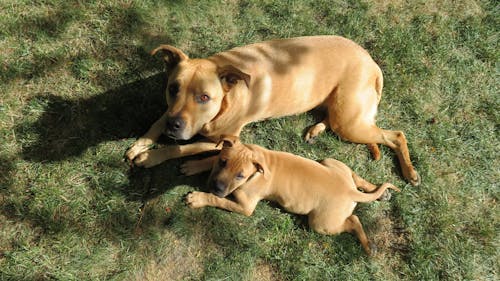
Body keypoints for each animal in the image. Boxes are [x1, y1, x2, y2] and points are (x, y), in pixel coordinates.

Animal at [126, 35, 422, 185]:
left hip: (349, 122)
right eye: (173, 88)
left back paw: (410, 172)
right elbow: (157, 122)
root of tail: (372, 63)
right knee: (332, 117)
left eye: (204, 97)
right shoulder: (172, 111)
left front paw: (151, 157)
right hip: (340, 111)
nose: (174, 126)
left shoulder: (221, 140)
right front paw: (141, 143)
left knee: (396, 135)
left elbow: (182, 147)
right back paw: (316, 129)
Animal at [183, 136, 398, 254]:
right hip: (332, 162)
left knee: (353, 220)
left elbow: (218, 200)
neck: (255, 170)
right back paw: (380, 192)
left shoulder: (245, 207)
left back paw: (368, 246)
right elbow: (209, 159)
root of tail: (350, 191)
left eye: (240, 176)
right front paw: (193, 165)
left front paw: (198, 198)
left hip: (320, 223)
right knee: (357, 178)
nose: (216, 186)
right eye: (223, 162)